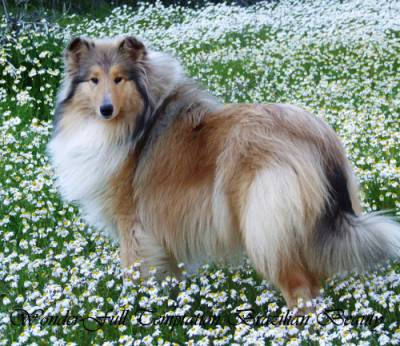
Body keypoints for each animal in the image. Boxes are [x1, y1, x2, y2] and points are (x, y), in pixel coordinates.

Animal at [47, 36, 400, 308]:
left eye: (119, 78)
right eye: (93, 79)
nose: (106, 109)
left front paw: (135, 307)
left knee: (301, 290)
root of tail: (317, 137)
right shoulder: (160, 229)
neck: (133, 122)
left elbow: (133, 270)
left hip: (265, 224)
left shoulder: (131, 223)